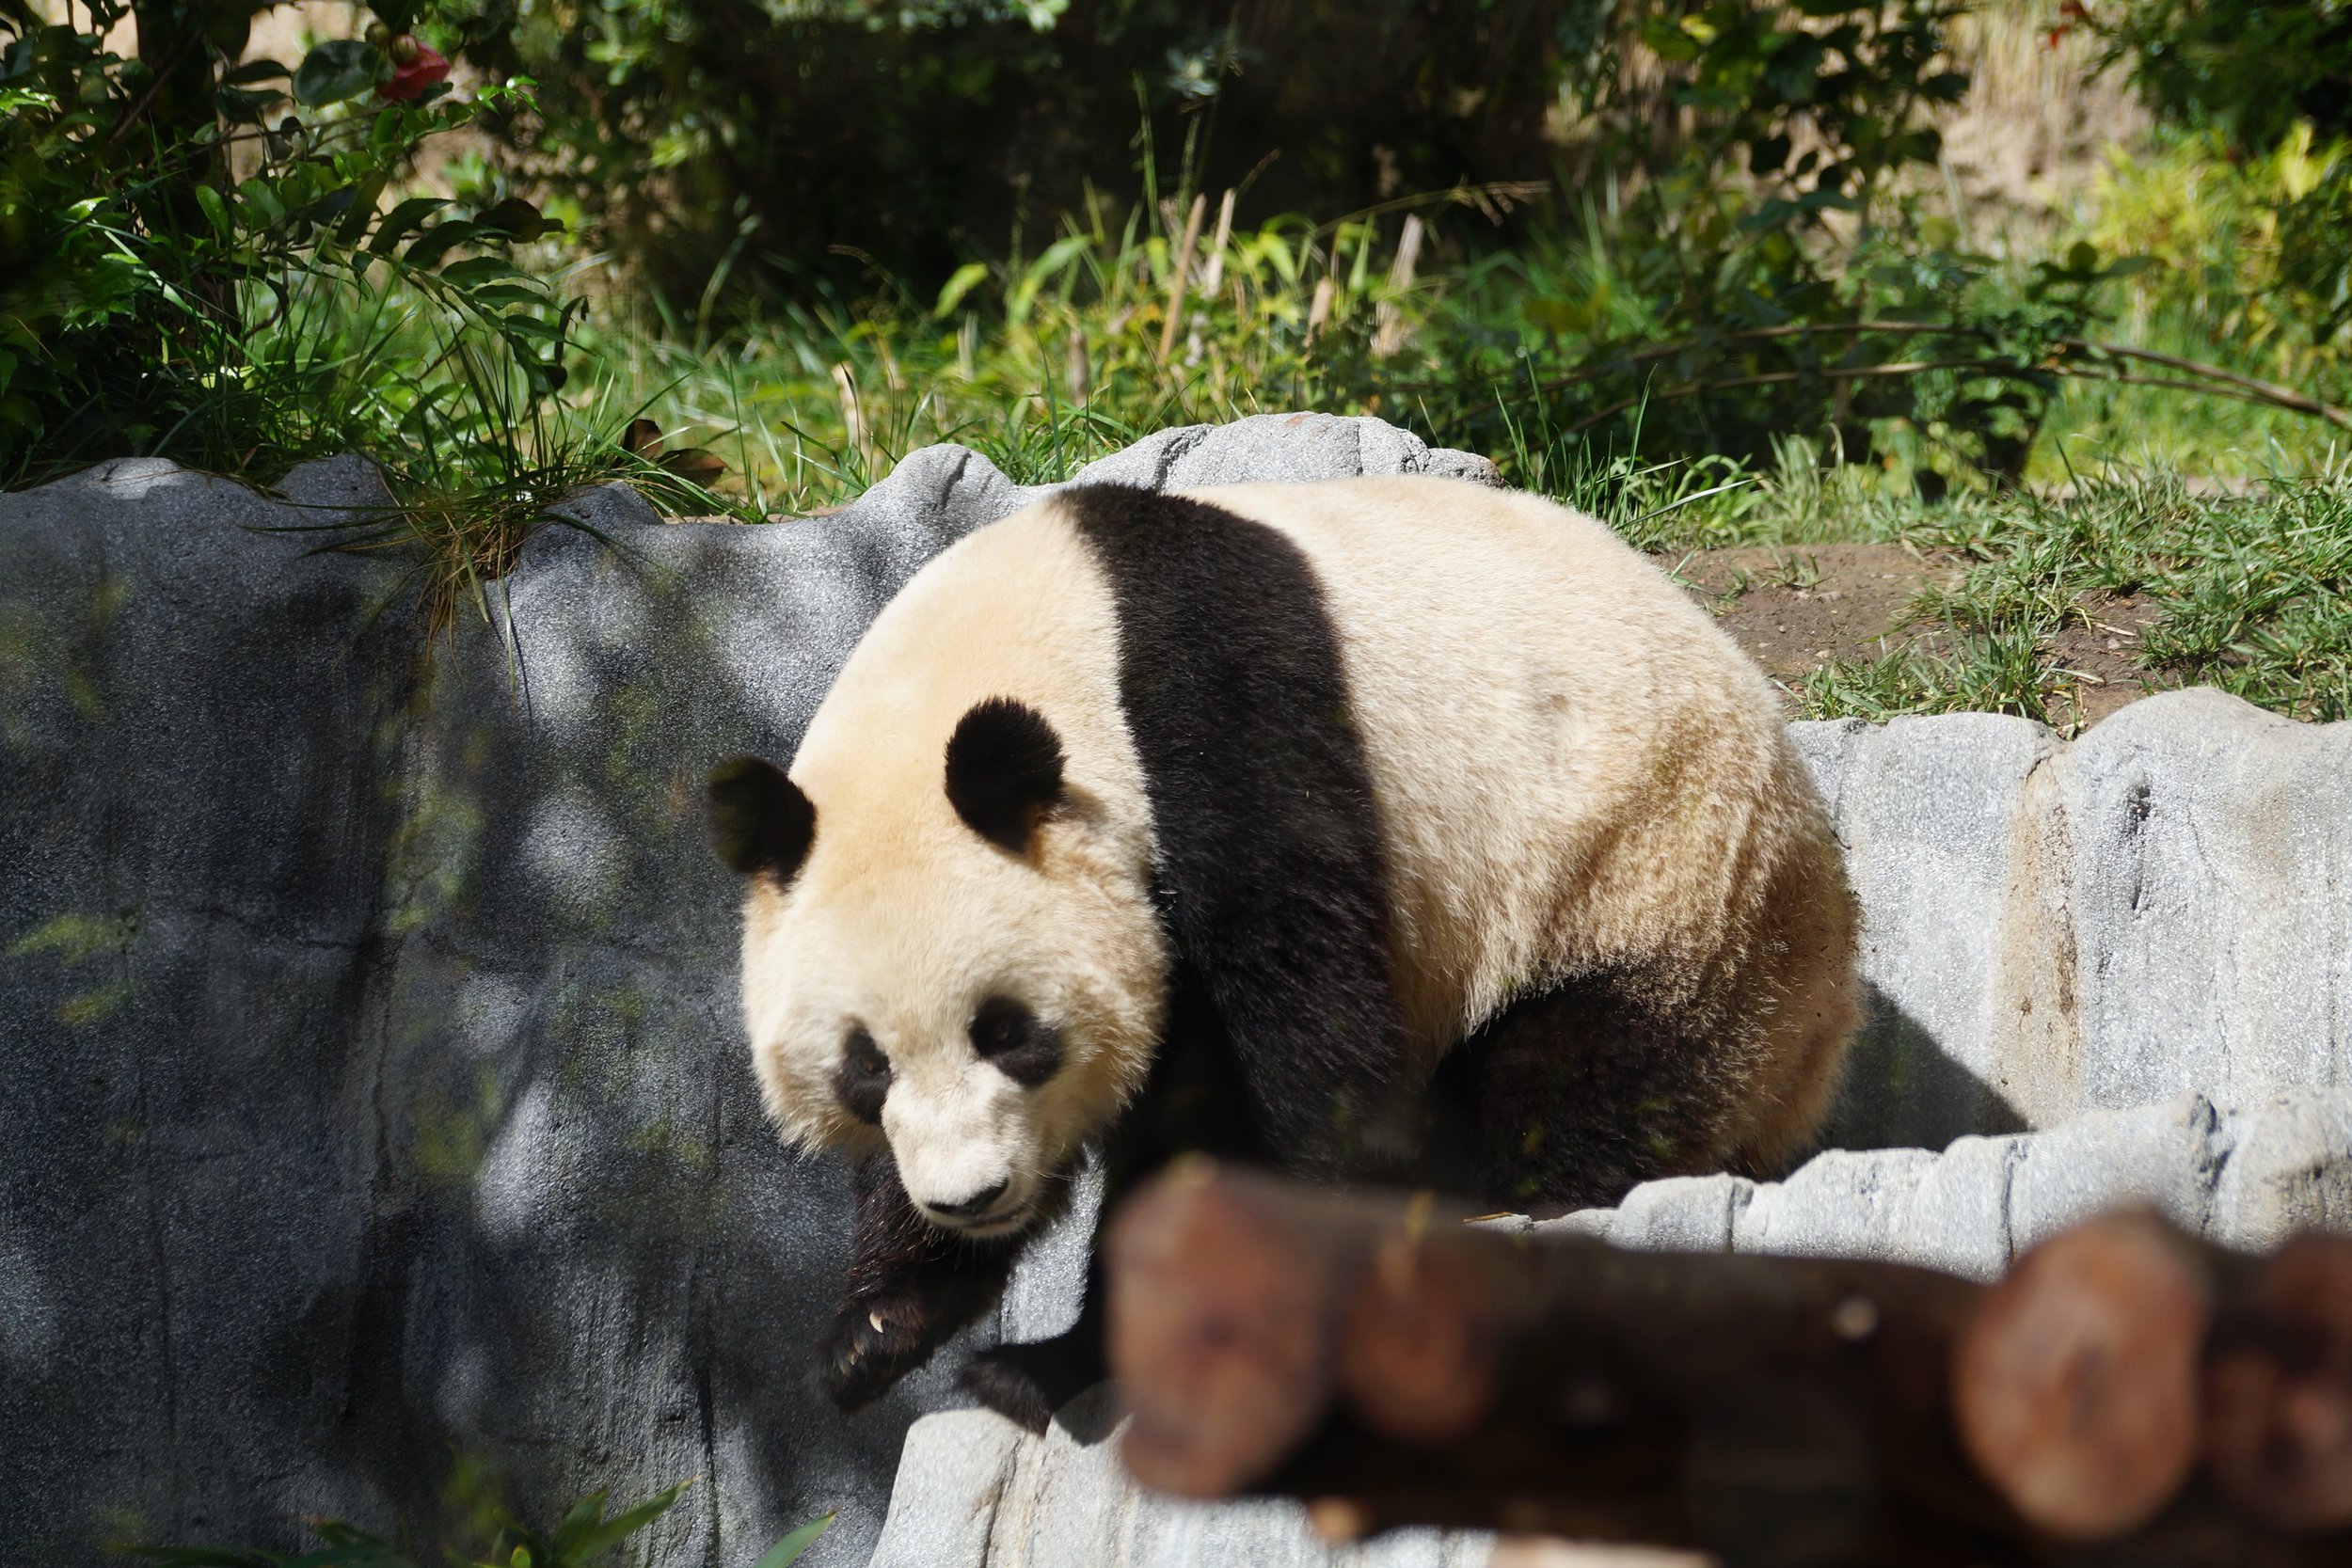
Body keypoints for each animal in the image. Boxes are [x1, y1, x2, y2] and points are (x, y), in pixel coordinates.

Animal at [708, 475, 1861, 1431]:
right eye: (865, 1066)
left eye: (1009, 1032)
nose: (971, 1196)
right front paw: (878, 1327)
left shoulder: (1220, 733)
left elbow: (1285, 1057)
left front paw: (1100, 1344)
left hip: (1661, 882)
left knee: (1593, 1069)